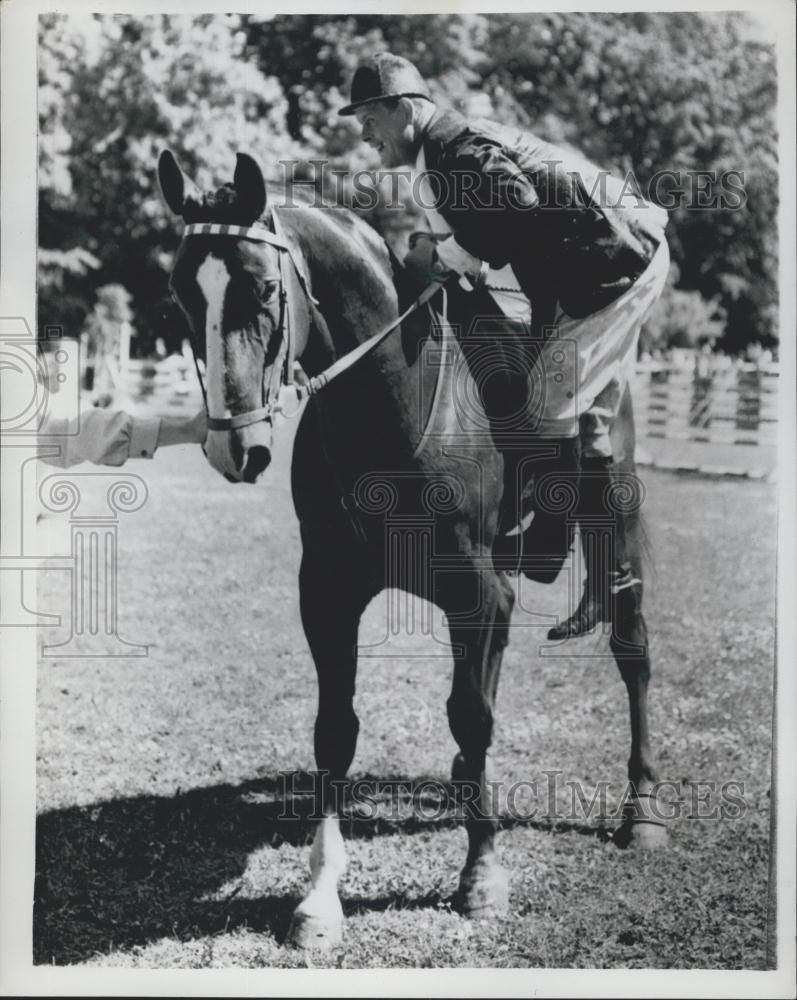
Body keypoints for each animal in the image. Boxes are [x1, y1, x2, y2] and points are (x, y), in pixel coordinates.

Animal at [155, 152, 664, 948]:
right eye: (181, 293)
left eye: (263, 288)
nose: (231, 447)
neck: (391, 401)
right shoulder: (327, 591)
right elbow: (336, 729)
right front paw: (320, 895)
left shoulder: (478, 593)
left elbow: (472, 715)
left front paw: (480, 875)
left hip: (617, 525)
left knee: (631, 651)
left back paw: (641, 809)